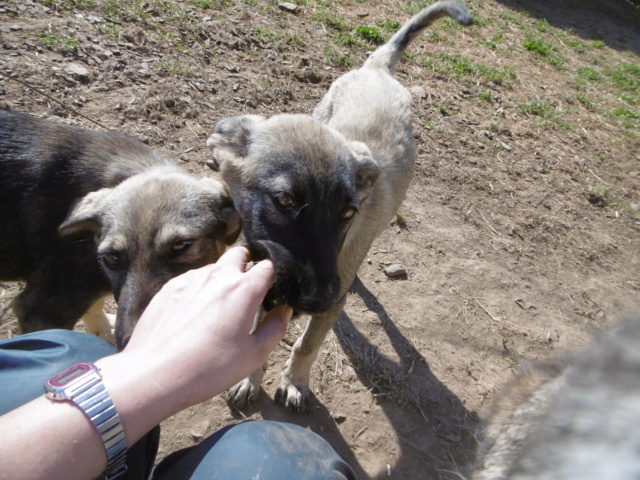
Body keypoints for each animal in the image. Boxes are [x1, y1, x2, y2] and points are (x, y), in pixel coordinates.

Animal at [208, 0, 472, 412]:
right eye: (283, 201)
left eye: (347, 213)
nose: (319, 298)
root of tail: (376, 71)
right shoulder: (270, 282)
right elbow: (258, 334)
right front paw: (250, 379)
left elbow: (306, 344)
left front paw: (295, 382)